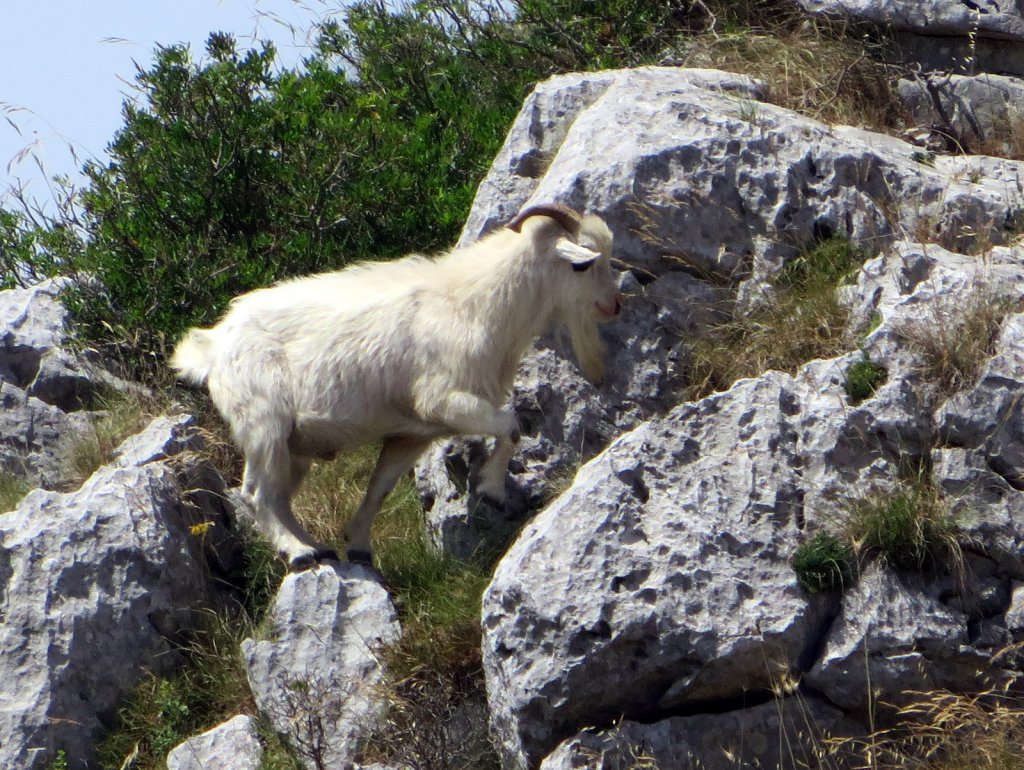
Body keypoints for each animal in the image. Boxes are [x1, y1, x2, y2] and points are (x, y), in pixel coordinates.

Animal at [171, 202, 618, 565]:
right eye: (583, 265)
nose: (615, 305)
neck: (472, 305)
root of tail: (213, 346)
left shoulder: (413, 432)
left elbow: (379, 489)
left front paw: (359, 547)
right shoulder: (443, 401)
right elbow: (511, 425)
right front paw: (491, 488)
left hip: (293, 445)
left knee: (277, 496)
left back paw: (317, 547)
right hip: (264, 423)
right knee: (256, 494)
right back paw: (299, 553)